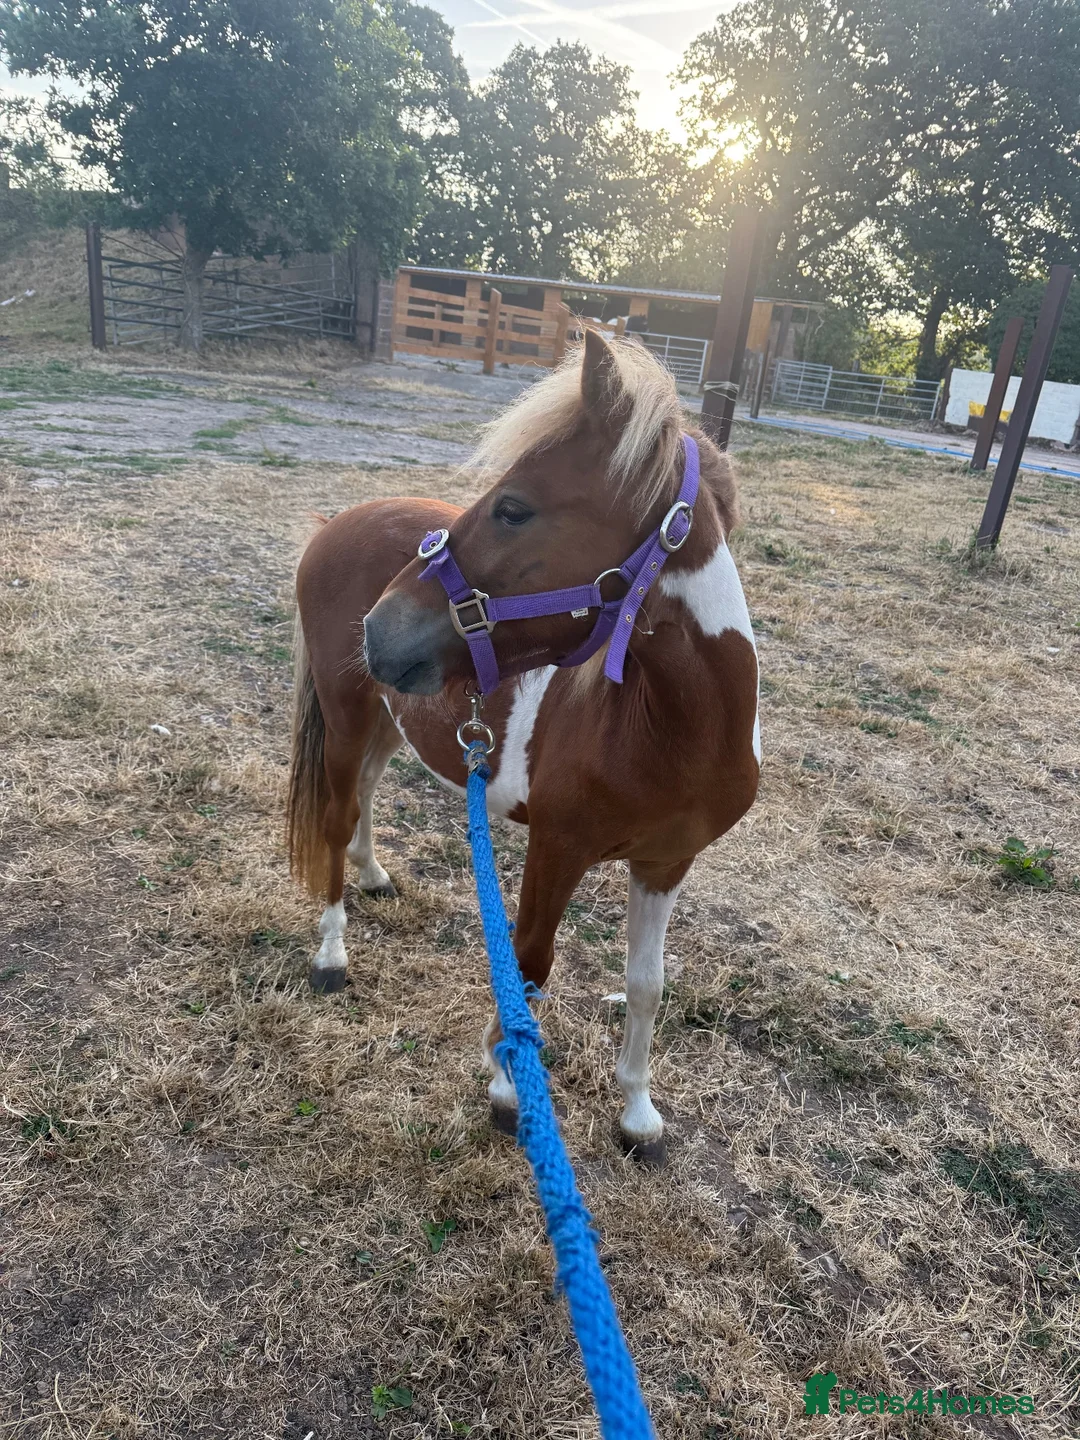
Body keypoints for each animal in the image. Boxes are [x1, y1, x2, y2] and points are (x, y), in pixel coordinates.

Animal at [287, 330, 760, 1166]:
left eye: (513, 508)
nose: (379, 629)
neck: (671, 731)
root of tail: (337, 523)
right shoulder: (556, 847)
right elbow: (531, 965)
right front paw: (511, 1090)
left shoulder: (666, 862)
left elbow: (647, 985)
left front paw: (637, 1114)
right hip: (346, 717)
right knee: (337, 819)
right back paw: (332, 956)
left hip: (389, 717)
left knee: (368, 791)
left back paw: (376, 875)